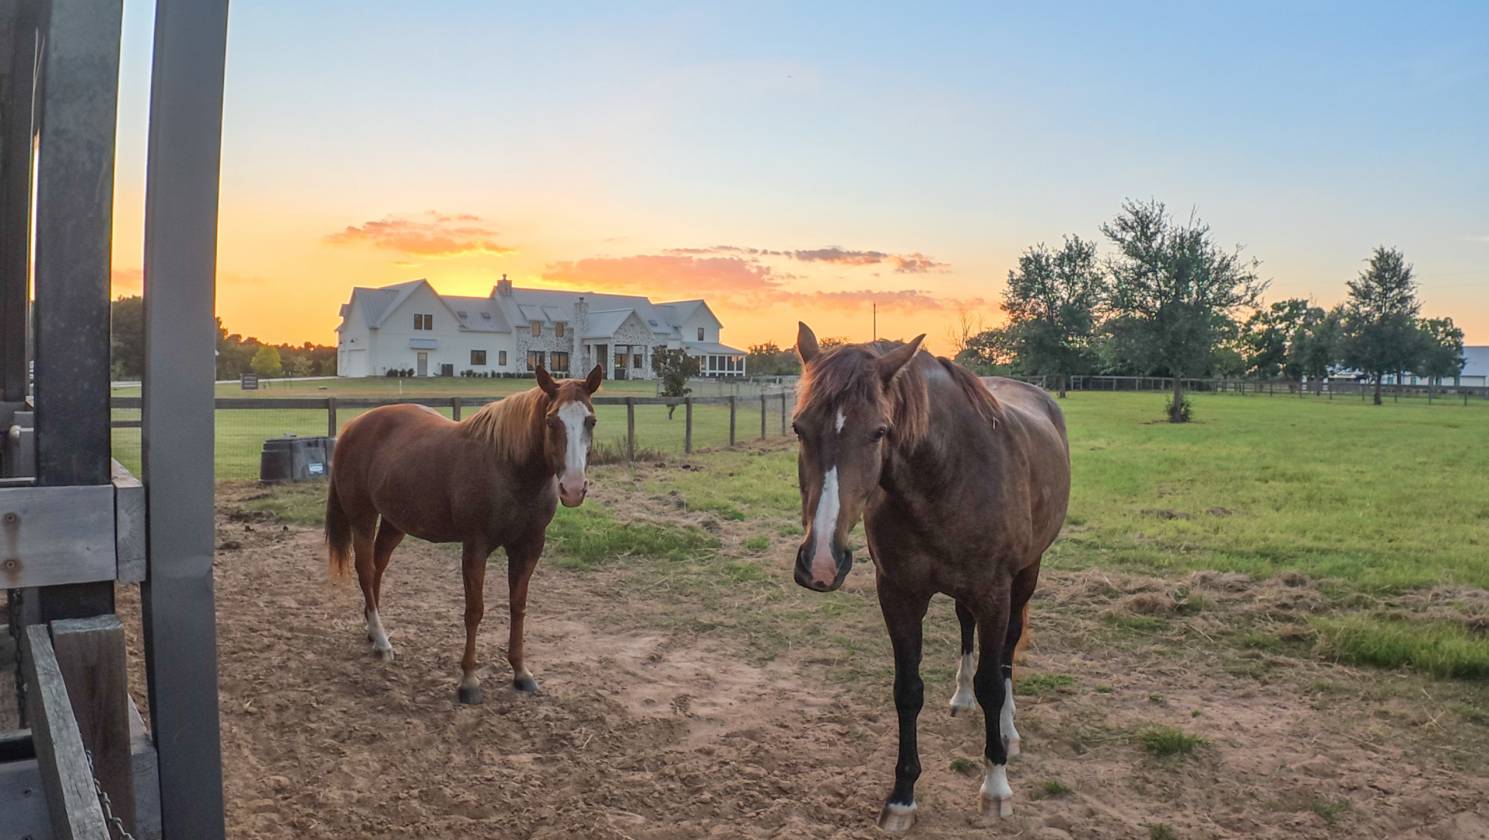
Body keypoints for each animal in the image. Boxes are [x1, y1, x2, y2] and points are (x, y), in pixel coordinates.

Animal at [324, 365, 603, 704]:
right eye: (551, 420)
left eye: (591, 420)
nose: (573, 488)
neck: (509, 468)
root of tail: (353, 426)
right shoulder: (475, 547)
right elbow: (474, 611)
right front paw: (469, 681)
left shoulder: (529, 547)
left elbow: (518, 606)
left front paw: (521, 673)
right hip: (363, 518)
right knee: (365, 570)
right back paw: (382, 641)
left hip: (394, 523)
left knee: (377, 568)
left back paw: (372, 631)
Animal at [789, 323, 1069, 833]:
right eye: (800, 427)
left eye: (879, 431)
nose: (820, 564)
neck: (946, 476)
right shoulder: (899, 594)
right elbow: (908, 690)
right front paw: (902, 796)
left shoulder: (994, 594)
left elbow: (993, 682)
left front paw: (995, 787)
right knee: (965, 629)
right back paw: (961, 699)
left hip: (1025, 577)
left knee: (1006, 655)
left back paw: (1008, 731)